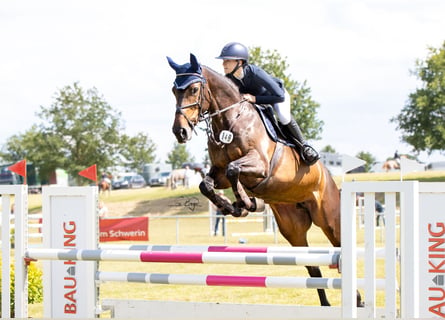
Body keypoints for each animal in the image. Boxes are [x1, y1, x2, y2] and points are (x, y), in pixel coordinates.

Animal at [166, 53, 360, 306]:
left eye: (194, 89)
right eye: (174, 90)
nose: (180, 132)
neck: (230, 120)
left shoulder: (260, 165)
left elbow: (234, 170)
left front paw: (248, 204)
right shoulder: (219, 173)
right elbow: (206, 184)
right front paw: (234, 206)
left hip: (329, 219)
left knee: (339, 247)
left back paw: (358, 300)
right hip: (292, 228)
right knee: (312, 267)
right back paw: (326, 304)